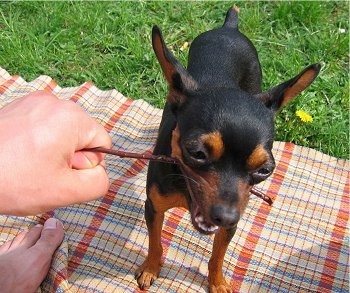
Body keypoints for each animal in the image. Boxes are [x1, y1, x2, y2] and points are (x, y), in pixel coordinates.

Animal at [135, 5, 322, 292]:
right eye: (197, 153)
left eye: (265, 170)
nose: (226, 216)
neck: (185, 191)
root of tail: (229, 28)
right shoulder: (153, 207)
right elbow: (155, 242)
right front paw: (150, 268)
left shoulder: (230, 226)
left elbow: (218, 256)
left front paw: (218, 282)